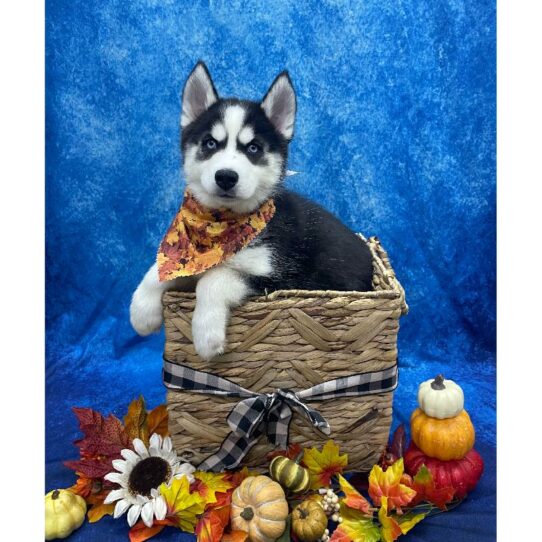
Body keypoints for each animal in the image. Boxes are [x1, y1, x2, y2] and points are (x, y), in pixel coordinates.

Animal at [132, 62, 374, 362]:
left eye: (253, 148)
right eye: (210, 143)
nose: (226, 176)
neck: (220, 224)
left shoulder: (286, 279)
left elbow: (214, 278)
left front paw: (206, 334)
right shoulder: (184, 256)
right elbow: (160, 268)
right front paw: (141, 311)